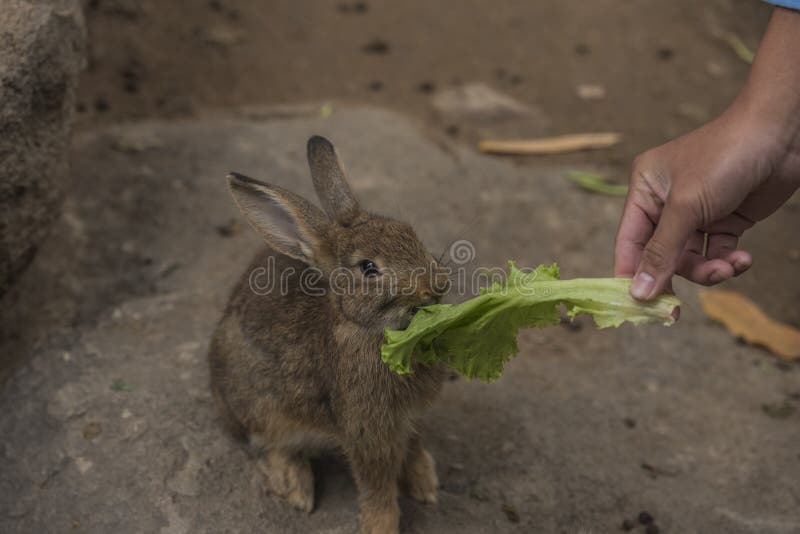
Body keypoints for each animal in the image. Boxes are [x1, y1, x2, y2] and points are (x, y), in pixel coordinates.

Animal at [208, 135, 451, 534]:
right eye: (368, 268)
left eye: (409, 233)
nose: (437, 284)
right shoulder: (366, 429)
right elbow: (376, 483)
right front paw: (381, 526)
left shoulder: (411, 417)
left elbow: (414, 447)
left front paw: (425, 485)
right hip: (263, 409)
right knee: (266, 445)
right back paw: (296, 488)